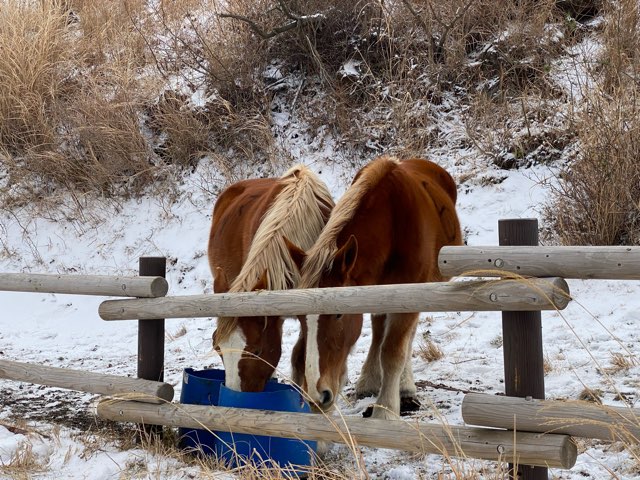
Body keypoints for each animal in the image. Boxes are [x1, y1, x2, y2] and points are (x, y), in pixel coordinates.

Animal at [288, 156, 460, 418]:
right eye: (299, 318)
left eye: (338, 314)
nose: (318, 396)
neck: (393, 222)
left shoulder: (408, 298)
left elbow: (393, 352)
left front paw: (386, 409)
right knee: (380, 333)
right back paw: (369, 381)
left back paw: (404, 388)